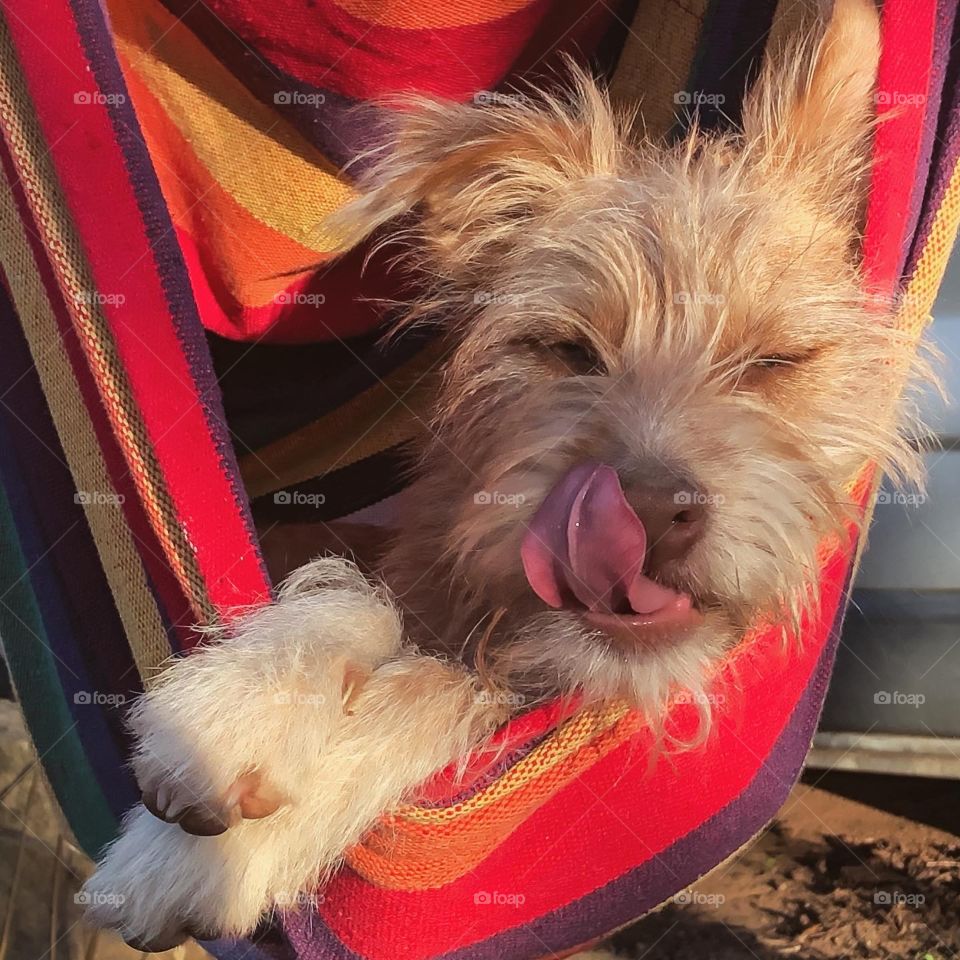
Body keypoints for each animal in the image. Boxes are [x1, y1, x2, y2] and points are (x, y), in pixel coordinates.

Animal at [86, 0, 928, 944]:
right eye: (566, 349)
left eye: (776, 361)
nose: (642, 510)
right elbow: (362, 598)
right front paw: (248, 702)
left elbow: (449, 685)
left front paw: (227, 832)